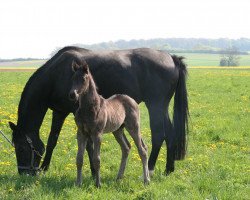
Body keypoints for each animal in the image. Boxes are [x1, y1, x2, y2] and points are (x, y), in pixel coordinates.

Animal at [8, 46, 188, 176]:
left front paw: (94, 172)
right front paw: (45, 168)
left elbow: (88, 144)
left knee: (158, 135)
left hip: (155, 105)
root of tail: (171, 58)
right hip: (162, 107)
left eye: (21, 148)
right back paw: (168, 169)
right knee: (170, 133)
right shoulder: (59, 112)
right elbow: (53, 140)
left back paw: (150, 168)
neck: (57, 74)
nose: (24, 173)